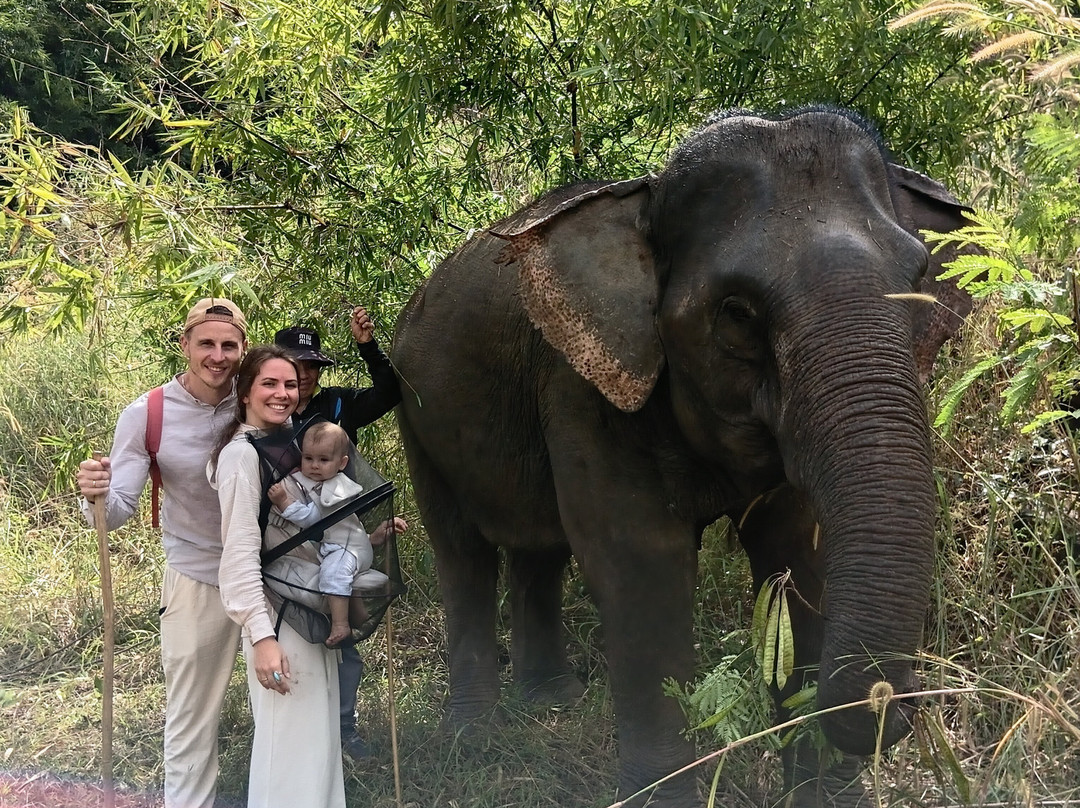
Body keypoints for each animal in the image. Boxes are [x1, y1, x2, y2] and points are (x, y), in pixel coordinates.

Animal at [391, 107, 975, 807]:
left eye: (919, 279)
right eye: (737, 313)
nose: (898, 697)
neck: (644, 201)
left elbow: (798, 549)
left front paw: (824, 792)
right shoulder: (584, 386)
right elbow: (640, 561)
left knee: (540, 547)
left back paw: (551, 703)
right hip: (414, 409)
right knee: (461, 549)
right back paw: (474, 736)